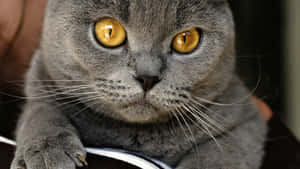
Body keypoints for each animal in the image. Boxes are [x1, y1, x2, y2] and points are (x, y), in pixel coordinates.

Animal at [10, 0, 266, 169]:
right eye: (109, 32)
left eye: (186, 39)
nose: (147, 77)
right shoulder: (40, 78)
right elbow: (41, 111)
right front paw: (47, 152)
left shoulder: (245, 120)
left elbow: (221, 154)